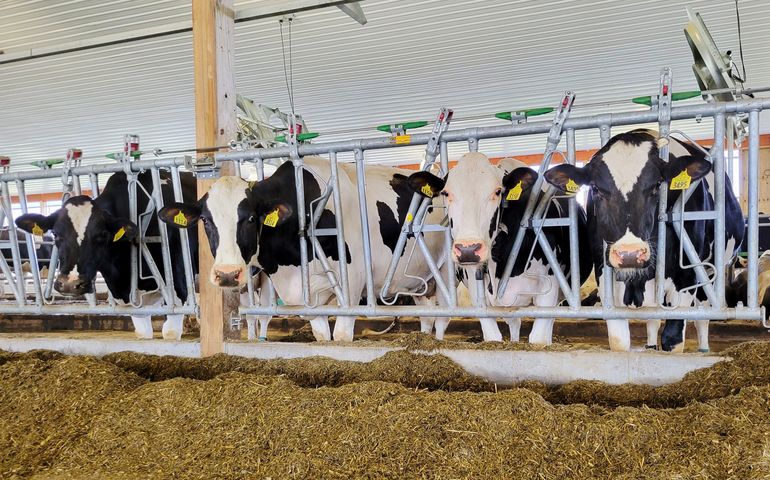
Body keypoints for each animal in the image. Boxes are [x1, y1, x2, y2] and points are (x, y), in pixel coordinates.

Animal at [15, 170, 198, 342]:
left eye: (101, 235)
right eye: (55, 234)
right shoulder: (131, 301)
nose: (70, 284)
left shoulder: (178, 290)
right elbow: (143, 333)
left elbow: (170, 332)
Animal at [160, 157, 448, 342]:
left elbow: (341, 336)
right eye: (205, 220)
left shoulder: (352, 284)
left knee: (443, 317)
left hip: (447, 270)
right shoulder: (303, 296)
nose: (228, 274)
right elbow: (321, 335)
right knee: (427, 316)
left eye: (251, 218)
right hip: (419, 281)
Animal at [404, 152, 592, 344]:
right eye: (446, 193)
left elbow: (539, 337)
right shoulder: (477, 292)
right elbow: (493, 336)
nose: (468, 250)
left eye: (497, 192)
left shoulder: (550, 288)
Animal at [544, 129, 740, 350]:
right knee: (653, 319)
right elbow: (619, 340)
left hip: (708, 271)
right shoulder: (605, 279)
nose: (629, 254)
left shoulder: (686, 277)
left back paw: (703, 348)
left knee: (703, 315)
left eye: (656, 186)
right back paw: (651, 345)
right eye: (595, 189)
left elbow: (673, 338)